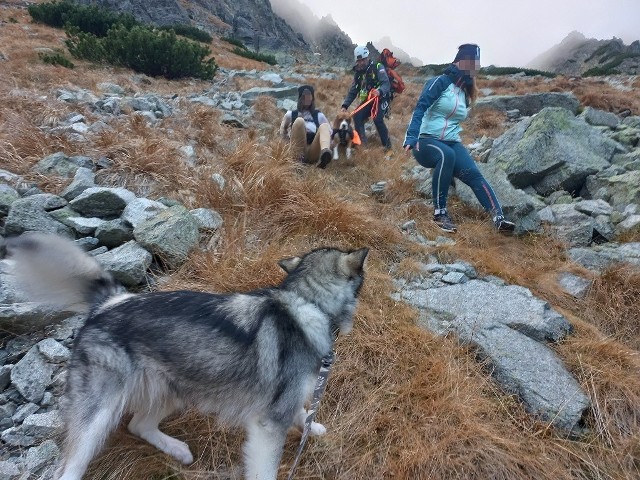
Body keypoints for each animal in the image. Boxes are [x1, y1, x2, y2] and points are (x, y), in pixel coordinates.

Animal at [6, 234, 370, 480]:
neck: (308, 302)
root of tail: (110, 303)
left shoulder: (282, 404)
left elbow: (301, 412)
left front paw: (313, 426)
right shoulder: (267, 426)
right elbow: (266, 466)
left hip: (177, 388)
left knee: (139, 425)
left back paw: (176, 449)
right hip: (98, 416)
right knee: (71, 465)